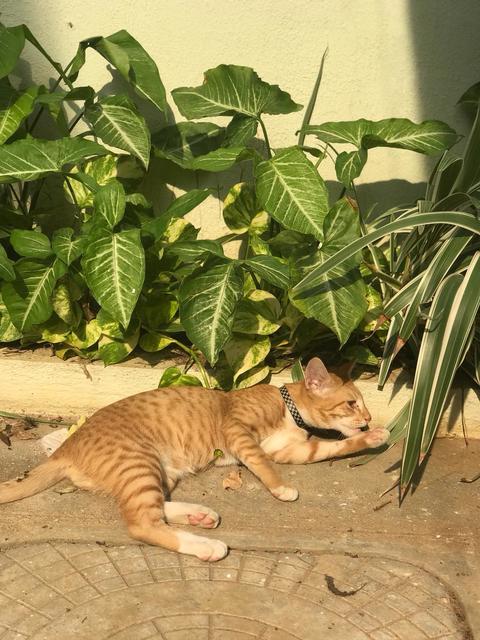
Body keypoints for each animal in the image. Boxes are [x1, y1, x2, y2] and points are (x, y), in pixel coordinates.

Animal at [0, 357, 388, 562]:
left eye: (362, 405)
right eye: (352, 403)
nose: (368, 418)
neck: (288, 409)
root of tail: (66, 446)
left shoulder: (295, 451)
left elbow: (334, 447)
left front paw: (371, 438)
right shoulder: (238, 432)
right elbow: (263, 464)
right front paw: (280, 488)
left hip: (158, 470)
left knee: (153, 510)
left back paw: (200, 517)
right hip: (139, 462)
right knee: (141, 523)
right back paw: (207, 546)